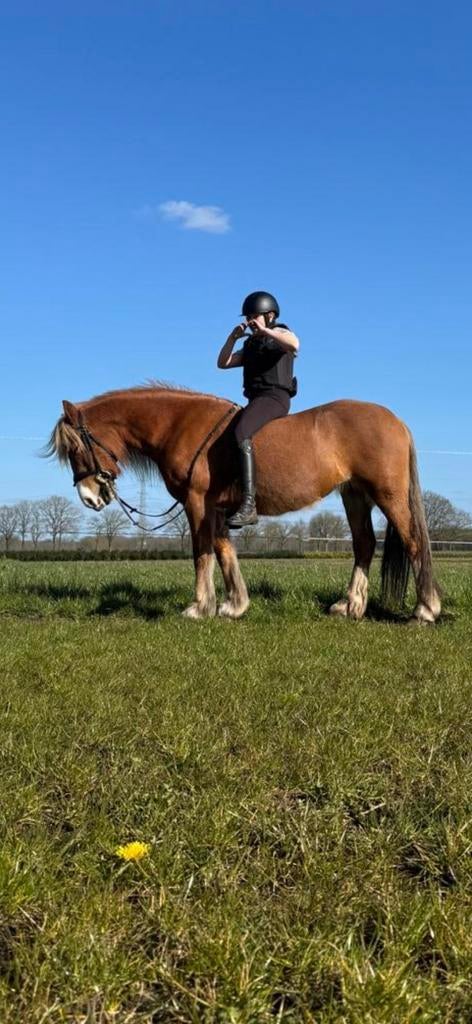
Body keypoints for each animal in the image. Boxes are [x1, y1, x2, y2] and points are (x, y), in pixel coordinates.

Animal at [46, 383, 441, 624]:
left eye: (76, 448)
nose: (89, 497)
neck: (179, 425)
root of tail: (396, 421)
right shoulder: (218, 509)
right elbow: (224, 552)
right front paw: (235, 605)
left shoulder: (196, 504)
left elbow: (202, 552)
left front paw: (199, 607)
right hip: (354, 494)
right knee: (364, 545)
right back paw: (350, 606)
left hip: (387, 494)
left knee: (413, 542)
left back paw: (425, 609)